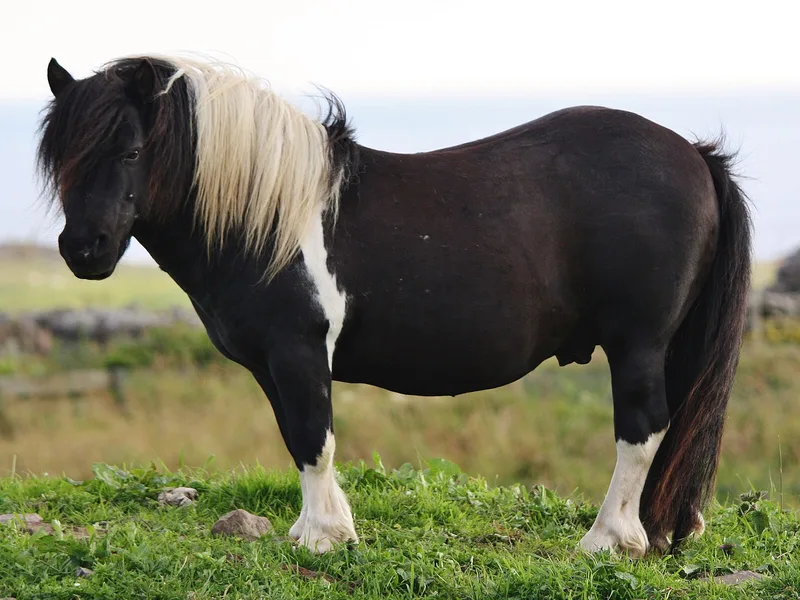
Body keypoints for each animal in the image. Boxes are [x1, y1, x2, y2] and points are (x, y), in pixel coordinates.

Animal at [37, 55, 752, 556]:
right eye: (59, 158)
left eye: (132, 150)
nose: (84, 250)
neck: (268, 218)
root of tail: (694, 155)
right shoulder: (273, 363)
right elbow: (298, 437)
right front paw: (324, 528)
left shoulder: (298, 350)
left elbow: (313, 436)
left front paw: (322, 538)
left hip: (638, 343)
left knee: (642, 428)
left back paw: (608, 540)